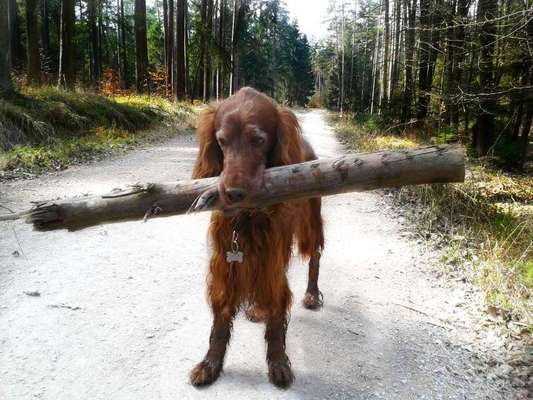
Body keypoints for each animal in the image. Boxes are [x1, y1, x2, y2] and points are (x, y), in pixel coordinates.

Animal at [191, 86, 324, 388]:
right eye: (222, 141)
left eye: (259, 140)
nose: (233, 193)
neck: (248, 218)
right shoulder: (225, 262)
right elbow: (220, 322)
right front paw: (210, 364)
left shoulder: (272, 259)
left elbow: (276, 316)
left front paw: (278, 363)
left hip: (311, 224)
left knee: (315, 257)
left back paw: (311, 294)